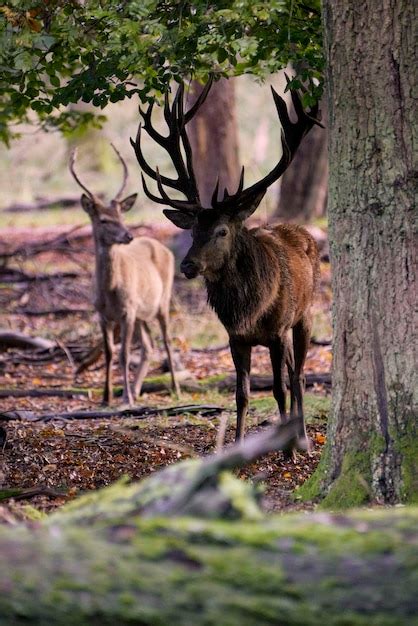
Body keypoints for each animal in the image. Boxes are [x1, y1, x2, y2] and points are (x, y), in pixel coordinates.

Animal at [69, 145, 180, 404]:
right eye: (103, 220)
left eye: (122, 217)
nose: (128, 235)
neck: (109, 292)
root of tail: (164, 248)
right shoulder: (102, 314)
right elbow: (110, 353)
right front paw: (107, 397)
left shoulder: (127, 311)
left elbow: (124, 354)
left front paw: (125, 397)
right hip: (142, 314)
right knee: (149, 346)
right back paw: (138, 390)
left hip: (162, 300)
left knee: (167, 340)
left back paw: (174, 389)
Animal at [132, 78, 322, 446]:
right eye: (193, 230)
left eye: (221, 230)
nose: (187, 266)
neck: (250, 310)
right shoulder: (235, 338)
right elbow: (242, 394)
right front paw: (236, 444)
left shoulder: (277, 332)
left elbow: (278, 389)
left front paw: (287, 450)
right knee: (295, 371)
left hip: (305, 313)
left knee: (300, 375)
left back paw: (303, 438)